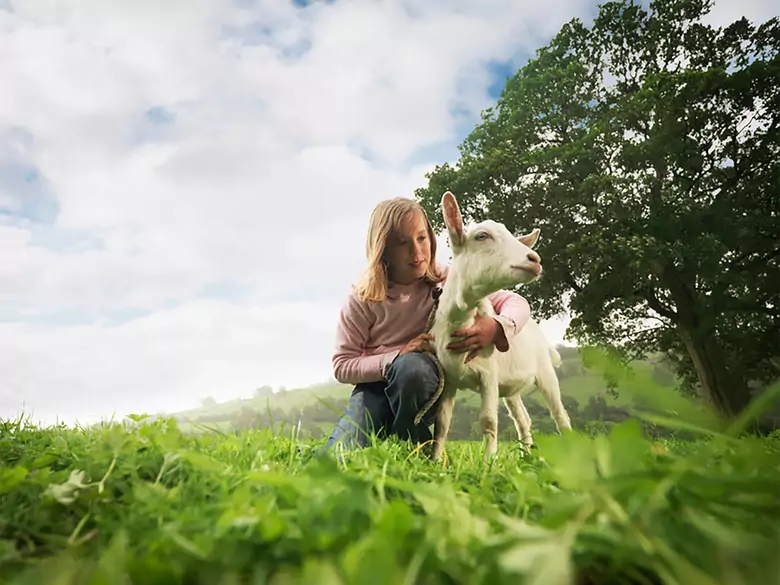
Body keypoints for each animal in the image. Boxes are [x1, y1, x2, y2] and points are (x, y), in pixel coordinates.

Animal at [429, 191, 572, 463]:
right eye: (482, 236)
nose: (534, 259)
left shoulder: (489, 375)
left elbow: (488, 421)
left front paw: (487, 464)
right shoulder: (448, 379)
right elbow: (441, 423)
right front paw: (434, 461)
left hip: (546, 372)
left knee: (560, 415)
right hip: (511, 388)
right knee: (523, 419)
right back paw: (527, 457)